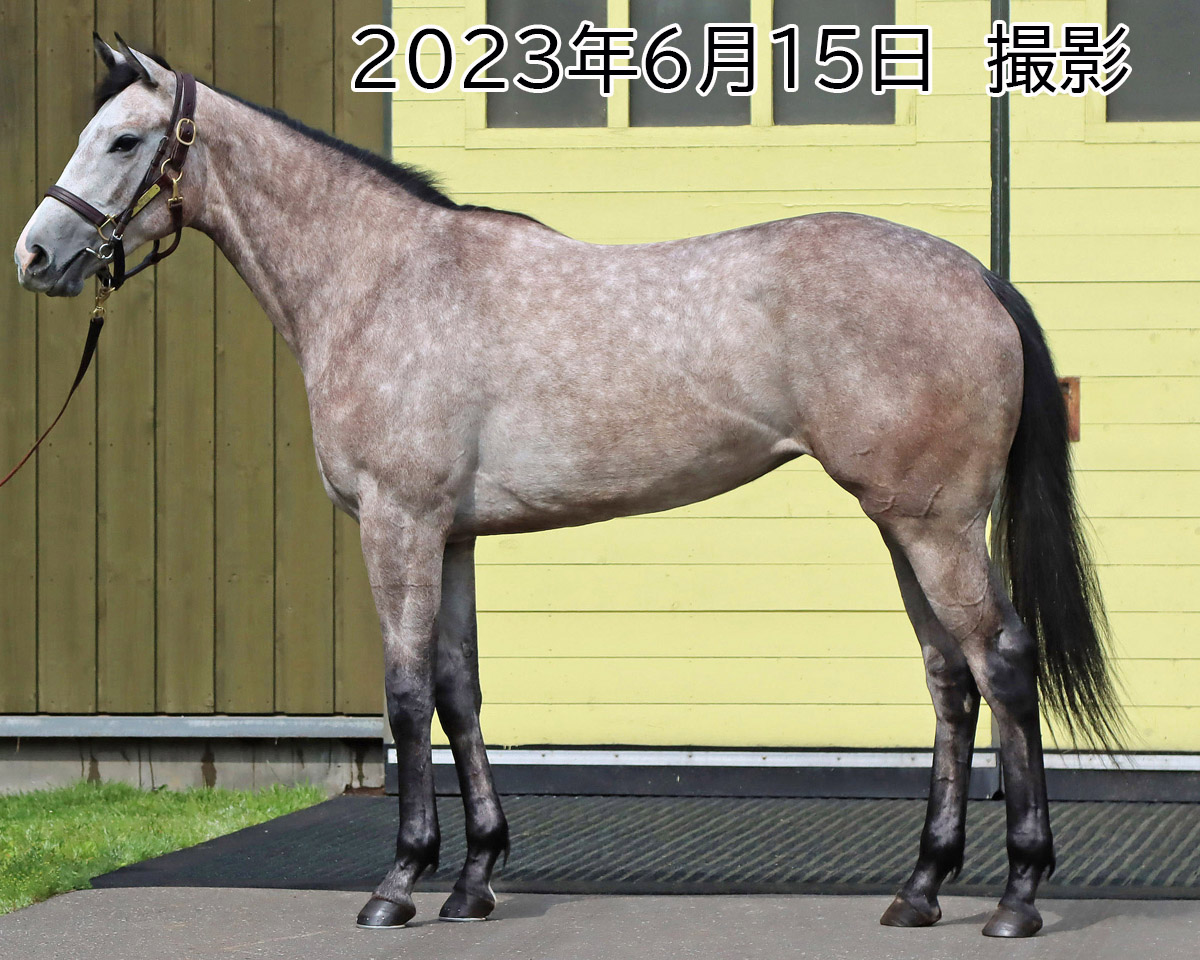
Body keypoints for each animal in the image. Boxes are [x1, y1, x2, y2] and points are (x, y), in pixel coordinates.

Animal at [13, 38, 1122, 939]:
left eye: (124, 141)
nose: (34, 256)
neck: (381, 281)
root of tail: (975, 274)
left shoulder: (398, 526)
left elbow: (405, 694)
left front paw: (400, 883)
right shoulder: (452, 536)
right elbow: (459, 690)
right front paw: (474, 881)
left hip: (937, 526)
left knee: (1001, 662)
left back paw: (1019, 897)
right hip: (903, 522)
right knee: (950, 680)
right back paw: (922, 890)